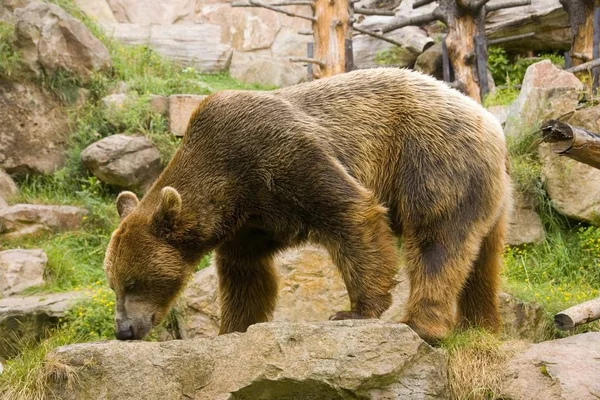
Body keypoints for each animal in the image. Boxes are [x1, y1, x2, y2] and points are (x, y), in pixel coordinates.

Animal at [103, 67, 510, 342]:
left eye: (134, 282)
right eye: (113, 284)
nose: (124, 329)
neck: (227, 179)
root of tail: (490, 121)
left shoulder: (281, 155)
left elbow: (350, 211)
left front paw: (354, 311)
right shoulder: (254, 216)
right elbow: (245, 273)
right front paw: (233, 327)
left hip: (433, 159)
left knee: (435, 239)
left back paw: (421, 324)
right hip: (489, 196)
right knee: (482, 262)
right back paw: (482, 325)